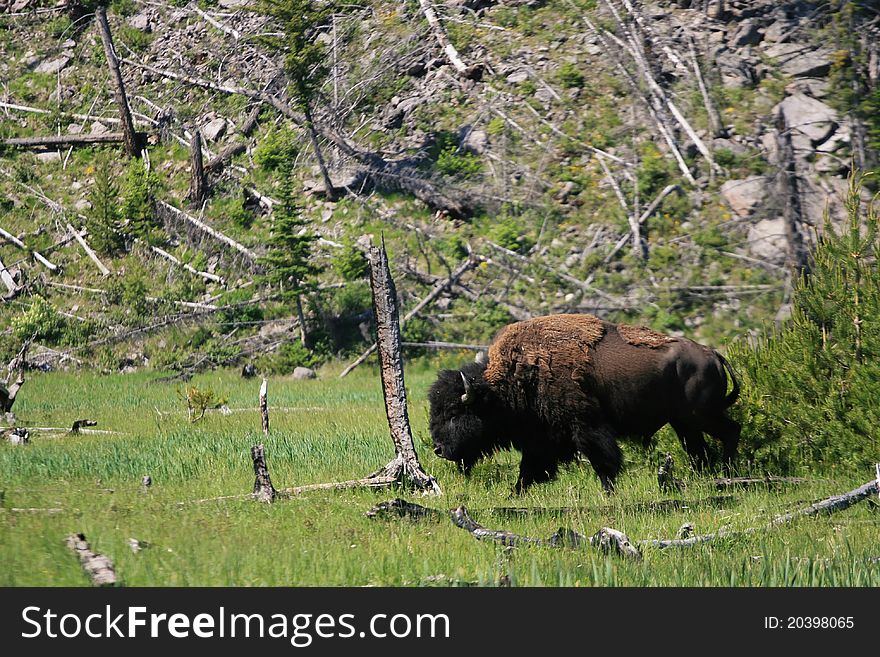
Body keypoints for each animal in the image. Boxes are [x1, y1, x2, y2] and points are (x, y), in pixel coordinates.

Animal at [430, 314, 740, 492]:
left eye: (455, 413)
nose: (438, 449)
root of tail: (712, 354)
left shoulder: (586, 426)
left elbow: (603, 461)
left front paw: (608, 491)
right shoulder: (541, 437)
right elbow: (529, 471)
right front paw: (514, 494)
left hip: (701, 415)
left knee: (730, 431)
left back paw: (727, 474)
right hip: (684, 422)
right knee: (699, 449)